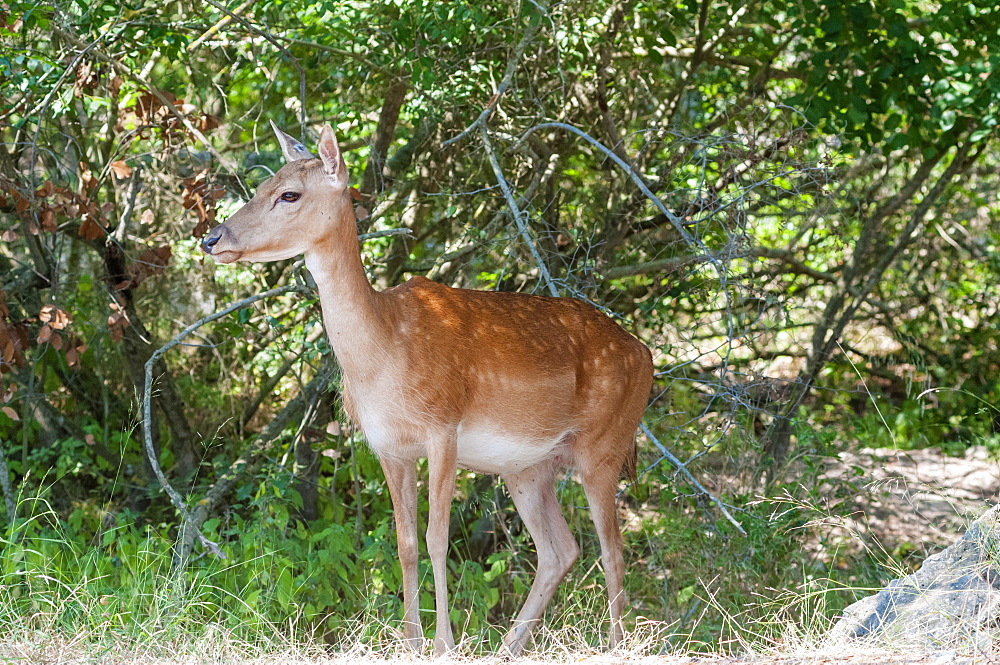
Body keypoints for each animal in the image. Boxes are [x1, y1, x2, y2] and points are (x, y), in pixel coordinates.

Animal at [201, 120, 656, 652]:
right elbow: (404, 543)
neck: (382, 357)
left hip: (607, 443)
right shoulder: (387, 446)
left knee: (614, 551)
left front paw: (443, 644)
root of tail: (647, 355)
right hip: (528, 467)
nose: (212, 237)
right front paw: (409, 641)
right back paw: (507, 648)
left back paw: (614, 645)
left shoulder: (444, 427)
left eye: (289, 194)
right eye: (260, 187)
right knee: (560, 549)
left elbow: (438, 538)